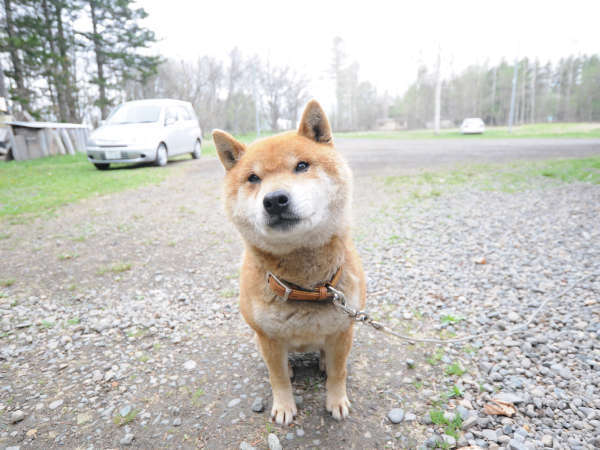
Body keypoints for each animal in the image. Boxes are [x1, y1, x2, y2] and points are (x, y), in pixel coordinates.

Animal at [213, 99, 368, 426]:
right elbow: (278, 377)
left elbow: (339, 372)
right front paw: (284, 405)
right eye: (253, 178)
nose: (274, 200)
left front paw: (336, 400)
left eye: (301, 166)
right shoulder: (269, 338)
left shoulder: (343, 330)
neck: (305, 286)